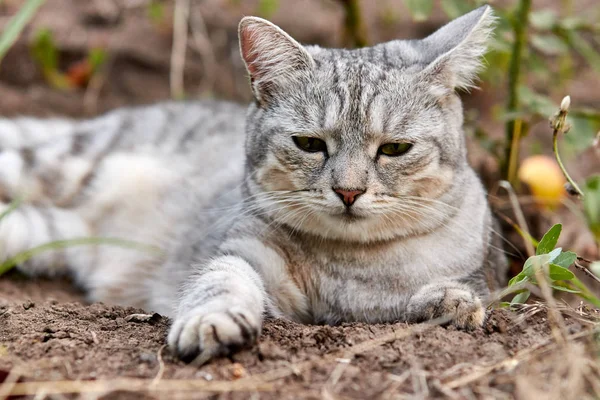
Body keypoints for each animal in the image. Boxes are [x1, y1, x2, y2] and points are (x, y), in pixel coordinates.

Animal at [0, 5, 506, 362]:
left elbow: (431, 296)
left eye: (395, 149)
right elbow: (222, 280)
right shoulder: (245, 251)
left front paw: (450, 302)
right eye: (309, 143)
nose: (348, 191)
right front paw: (211, 321)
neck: (351, 262)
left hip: (45, 231)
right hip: (56, 165)